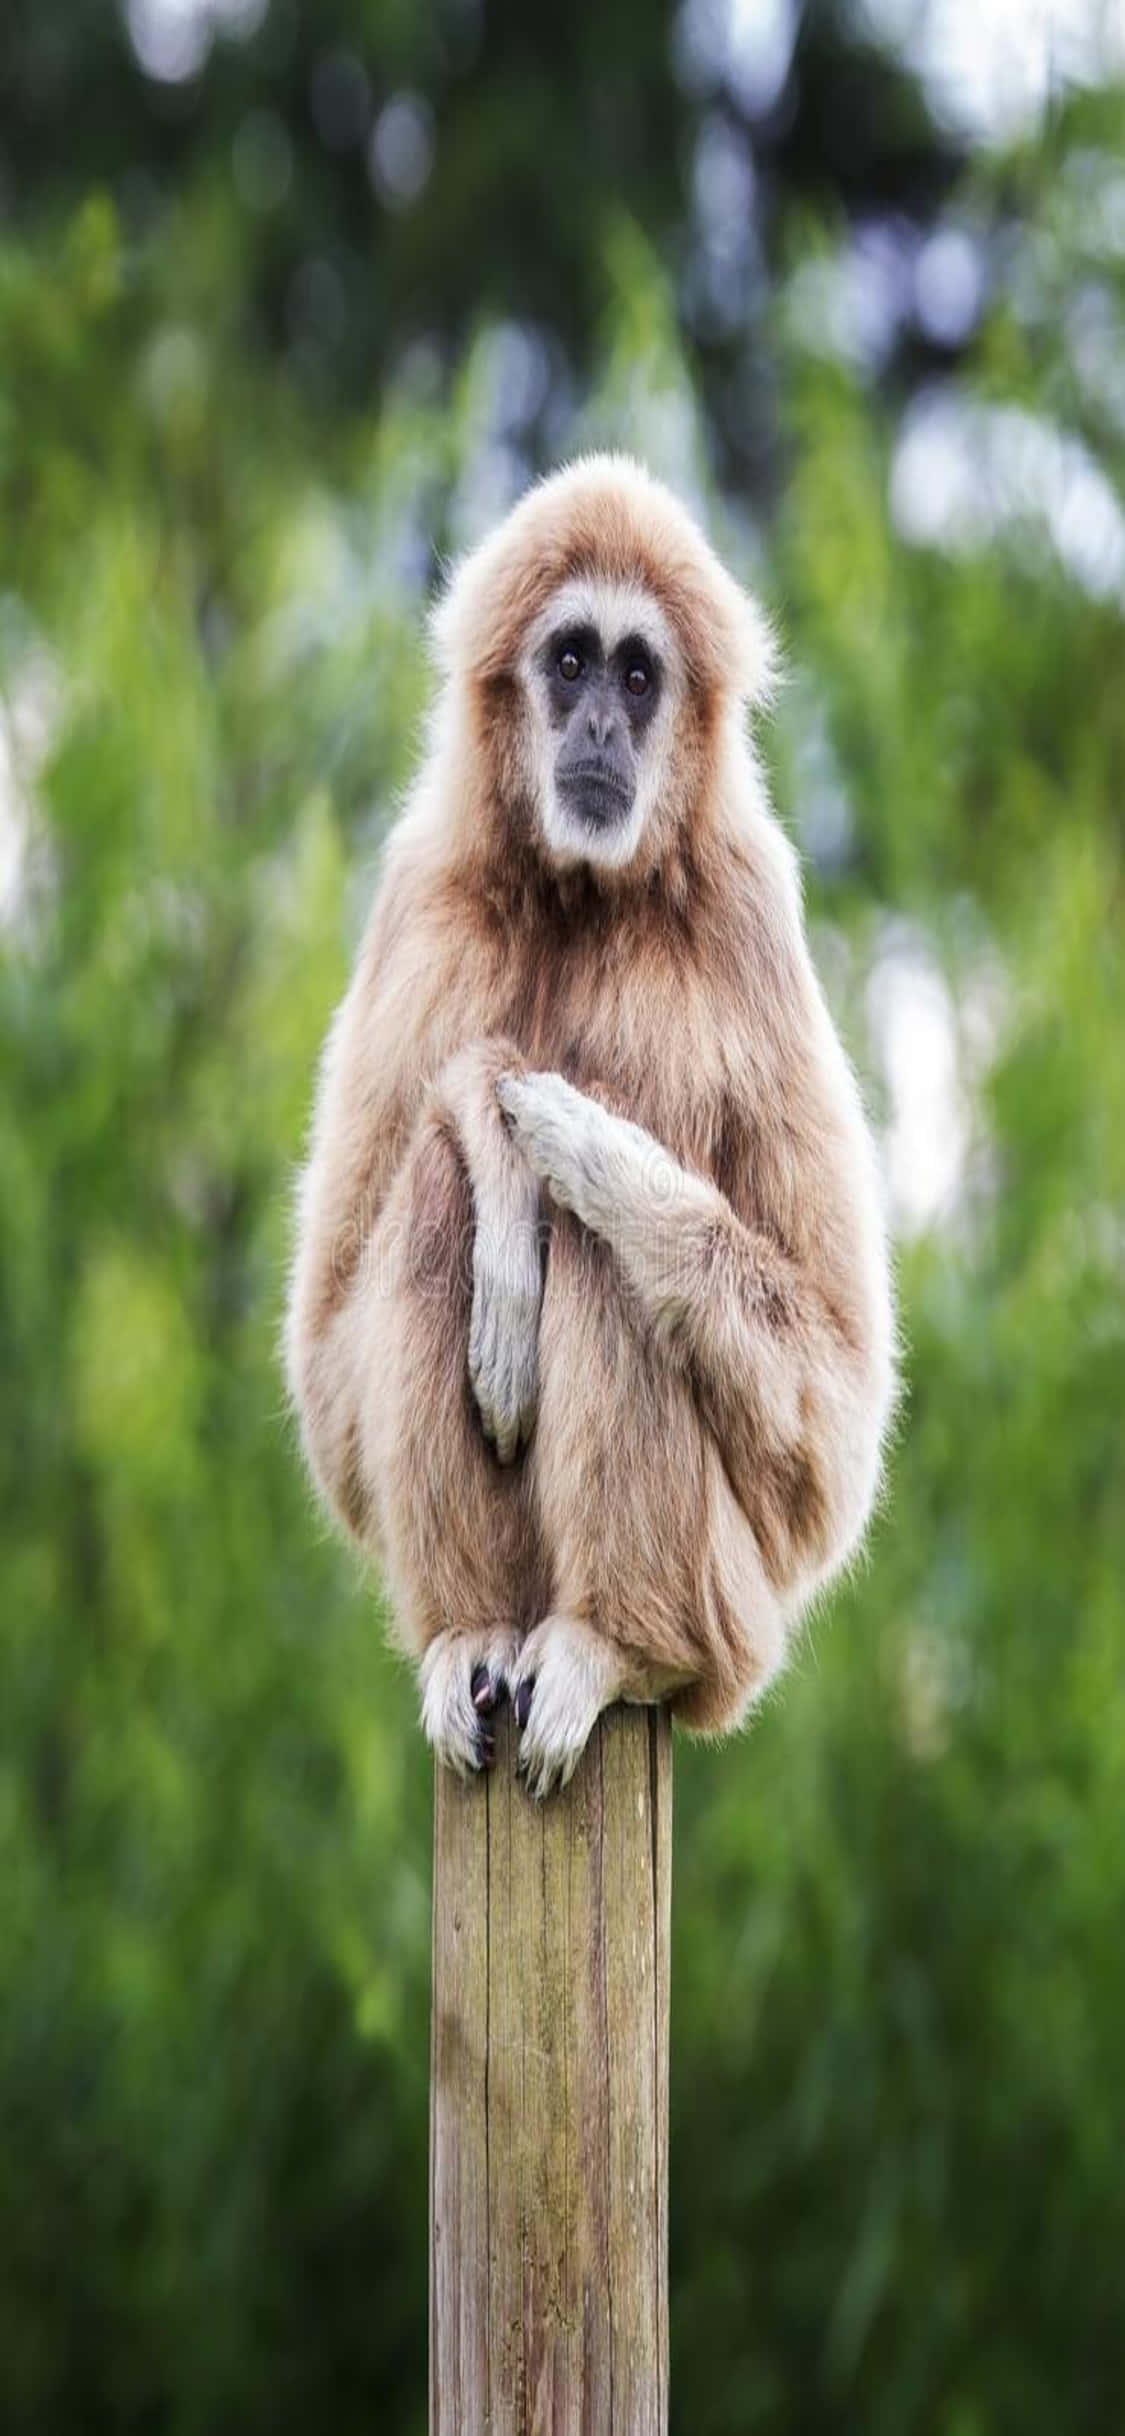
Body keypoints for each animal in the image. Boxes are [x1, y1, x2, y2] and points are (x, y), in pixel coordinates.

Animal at [285, 454, 896, 1797]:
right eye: (569, 662)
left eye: (638, 674)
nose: (603, 727)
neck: (581, 894)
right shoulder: (418, 898)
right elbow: (328, 1386)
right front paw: (495, 1113)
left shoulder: (752, 910)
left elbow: (829, 1432)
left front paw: (573, 1137)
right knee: (435, 1193)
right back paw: (470, 1630)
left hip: (740, 1613)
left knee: (618, 1261)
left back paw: (620, 1645)